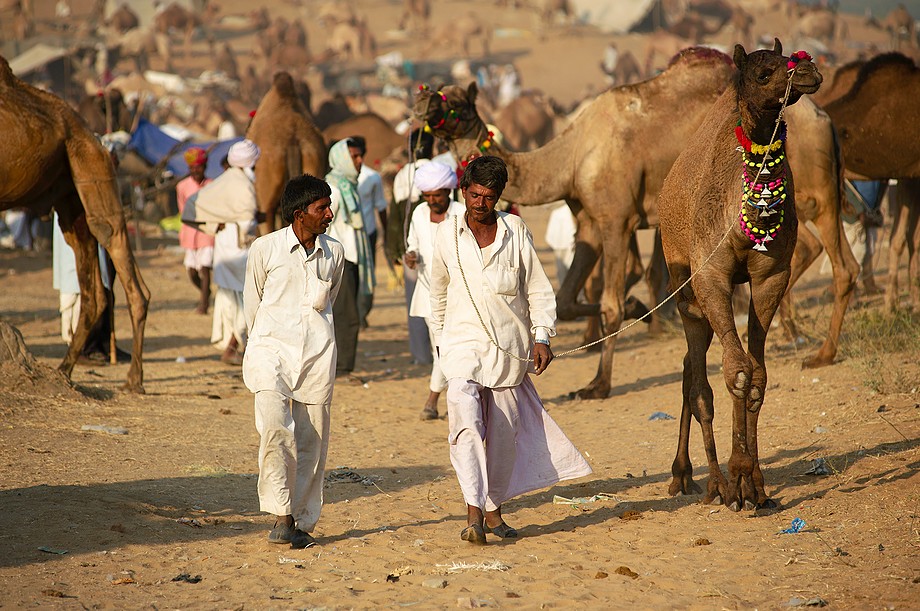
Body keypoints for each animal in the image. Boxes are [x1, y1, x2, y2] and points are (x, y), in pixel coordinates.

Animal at [0, 56, 149, 392]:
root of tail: (92, 134)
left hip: (90, 166)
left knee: (114, 245)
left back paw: (133, 378)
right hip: (70, 196)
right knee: (95, 292)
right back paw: (63, 370)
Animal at [414, 47, 855, 398]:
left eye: (457, 104)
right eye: (435, 92)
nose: (421, 104)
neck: (572, 156)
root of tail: (823, 117)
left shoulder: (615, 218)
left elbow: (608, 301)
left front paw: (598, 383)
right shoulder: (587, 221)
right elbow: (568, 299)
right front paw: (636, 306)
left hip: (812, 193)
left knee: (831, 258)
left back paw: (812, 346)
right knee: (819, 254)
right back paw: (796, 335)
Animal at [657, 40, 822, 510]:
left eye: (789, 59)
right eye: (764, 73)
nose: (808, 69)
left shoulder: (772, 276)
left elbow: (757, 377)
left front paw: (755, 484)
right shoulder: (710, 275)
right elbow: (733, 374)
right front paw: (734, 478)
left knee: (700, 370)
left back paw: (698, 476)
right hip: (685, 292)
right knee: (698, 381)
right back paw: (704, 480)